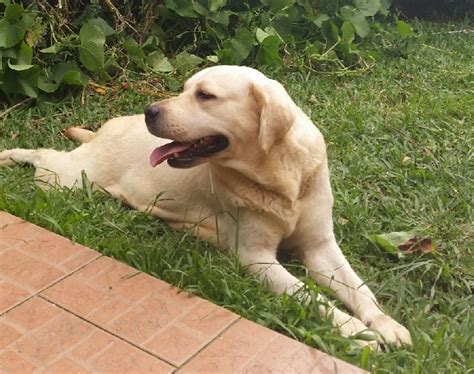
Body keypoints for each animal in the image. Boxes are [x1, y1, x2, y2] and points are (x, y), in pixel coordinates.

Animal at [0, 65, 412, 350]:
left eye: (205, 95)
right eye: (184, 89)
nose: (149, 110)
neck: (280, 179)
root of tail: (103, 130)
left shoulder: (320, 246)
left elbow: (360, 289)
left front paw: (384, 324)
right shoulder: (257, 258)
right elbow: (309, 296)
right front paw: (355, 332)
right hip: (70, 178)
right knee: (44, 155)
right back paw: (11, 155)